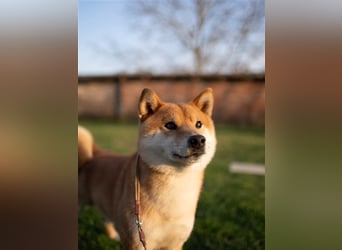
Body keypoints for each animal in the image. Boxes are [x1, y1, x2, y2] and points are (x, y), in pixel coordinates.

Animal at [79, 87, 215, 248]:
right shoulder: (136, 240)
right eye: (170, 125)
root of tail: (95, 153)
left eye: (199, 124)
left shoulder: (175, 242)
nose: (198, 140)